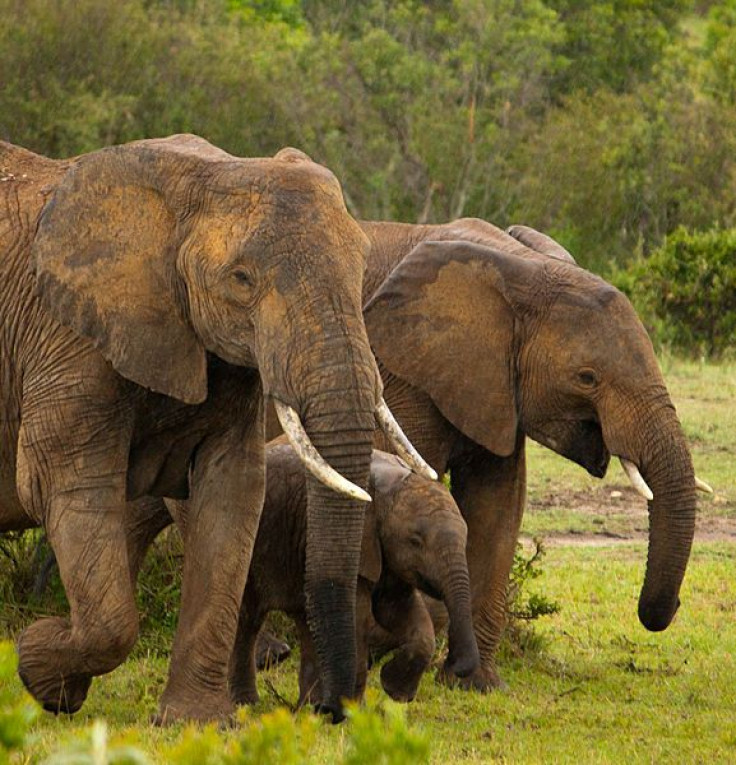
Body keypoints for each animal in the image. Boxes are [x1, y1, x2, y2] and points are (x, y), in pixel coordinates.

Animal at [0, 136, 432, 724]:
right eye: (241, 280)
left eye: (362, 264)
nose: (331, 711)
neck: (198, 178)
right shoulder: (65, 340)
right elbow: (67, 486)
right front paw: (39, 666)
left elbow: (231, 491)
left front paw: (196, 722)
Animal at [224, 444, 478, 708]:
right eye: (415, 541)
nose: (457, 667)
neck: (393, 483)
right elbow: (358, 616)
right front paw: (356, 710)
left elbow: (401, 611)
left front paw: (396, 691)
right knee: (249, 619)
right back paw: (248, 703)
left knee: (305, 623)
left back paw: (310, 706)